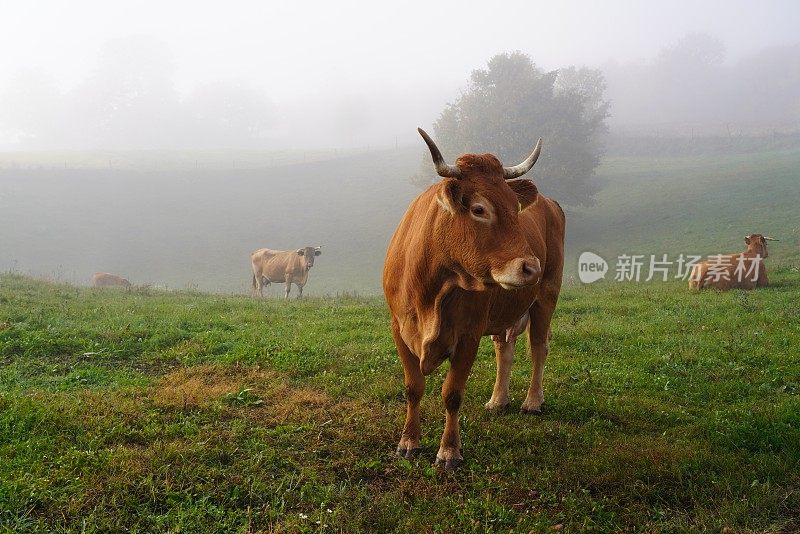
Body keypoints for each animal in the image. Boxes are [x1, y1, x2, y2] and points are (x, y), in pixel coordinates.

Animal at [382, 129, 564, 468]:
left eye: (514, 207)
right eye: (479, 209)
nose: (531, 267)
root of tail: (549, 201)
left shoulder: (468, 333)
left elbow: (452, 393)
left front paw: (449, 451)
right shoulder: (398, 327)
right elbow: (413, 387)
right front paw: (408, 442)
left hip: (547, 294)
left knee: (538, 347)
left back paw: (533, 401)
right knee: (505, 349)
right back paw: (498, 400)